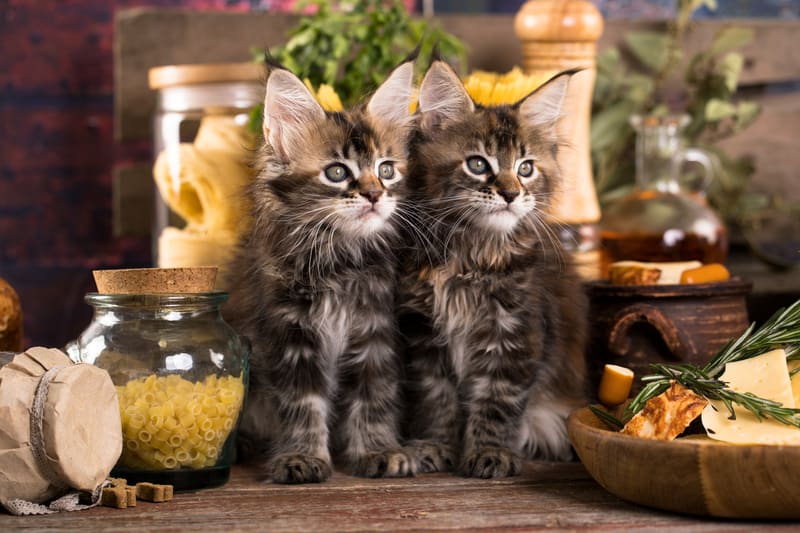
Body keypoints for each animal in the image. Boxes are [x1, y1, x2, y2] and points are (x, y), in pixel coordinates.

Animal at [222, 61, 416, 482]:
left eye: (386, 170)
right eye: (337, 173)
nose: (375, 194)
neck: (340, 259)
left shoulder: (376, 330)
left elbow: (373, 396)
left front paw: (378, 450)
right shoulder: (290, 335)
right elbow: (302, 404)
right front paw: (302, 457)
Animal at [398, 62, 588, 478]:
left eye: (526, 168)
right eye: (477, 164)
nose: (511, 194)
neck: (472, 255)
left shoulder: (516, 335)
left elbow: (497, 402)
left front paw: (490, 452)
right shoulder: (426, 337)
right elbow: (437, 400)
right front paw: (437, 445)